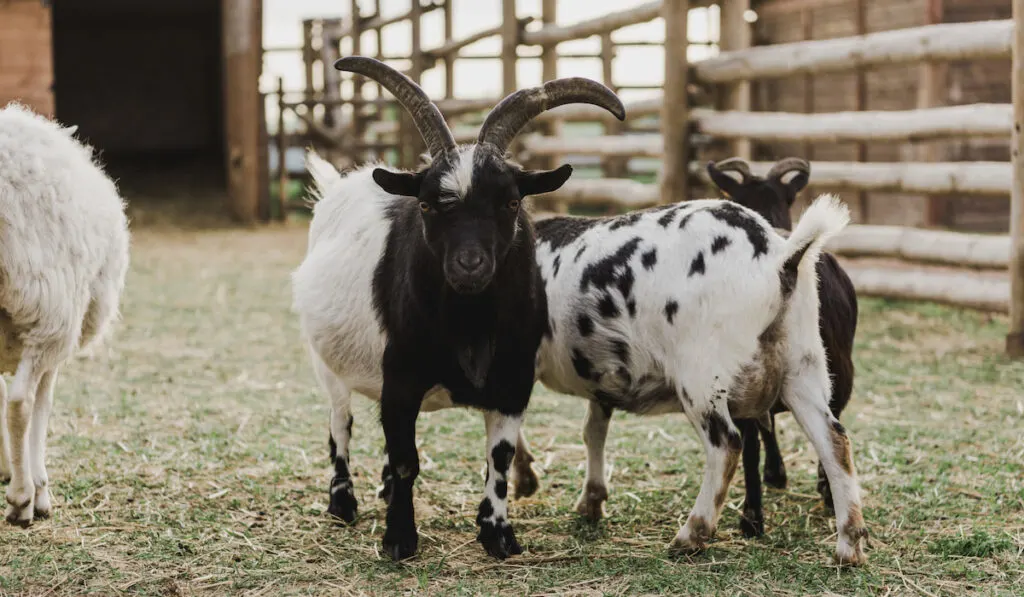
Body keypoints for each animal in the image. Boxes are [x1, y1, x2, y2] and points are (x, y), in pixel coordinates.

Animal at [0, 102, 131, 528]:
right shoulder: (55, 334)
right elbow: (42, 403)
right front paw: (39, 489)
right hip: (51, 307)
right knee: (21, 403)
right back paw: (21, 499)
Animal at [288, 56, 622, 561]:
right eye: (427, 205)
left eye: (511, 202)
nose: (469, 265)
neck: (469, 325)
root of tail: (337, 188)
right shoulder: (401, 379)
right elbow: (406, 460)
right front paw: (399, 539)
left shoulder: (512, 382)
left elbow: (498, 458)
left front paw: (498, 533)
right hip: (323, 360)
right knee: (340, 422)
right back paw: (342, 503)